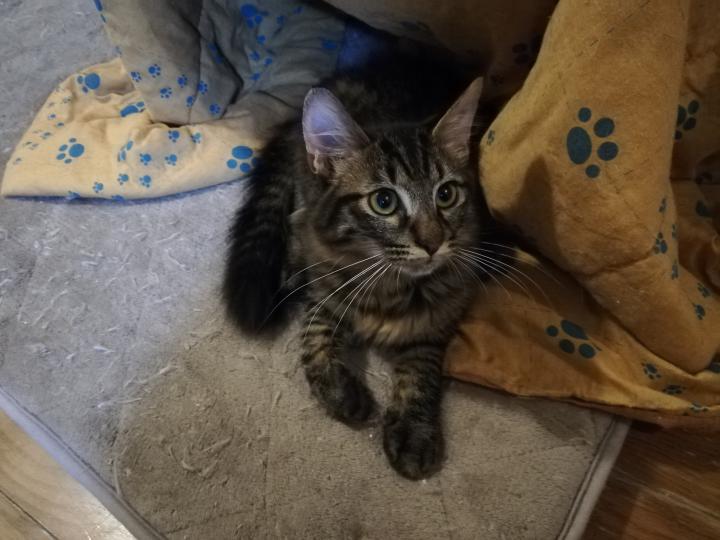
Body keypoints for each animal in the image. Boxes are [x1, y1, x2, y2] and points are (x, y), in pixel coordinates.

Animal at [223, 52, 512, 479]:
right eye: (384, 202)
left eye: (446, 194)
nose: (433, 243)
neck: (390, 284)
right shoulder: (323, 290)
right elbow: (316, 339)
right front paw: (340, 391)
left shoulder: (441, 315)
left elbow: (421, 369)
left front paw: (414, 431)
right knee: (294, 218)